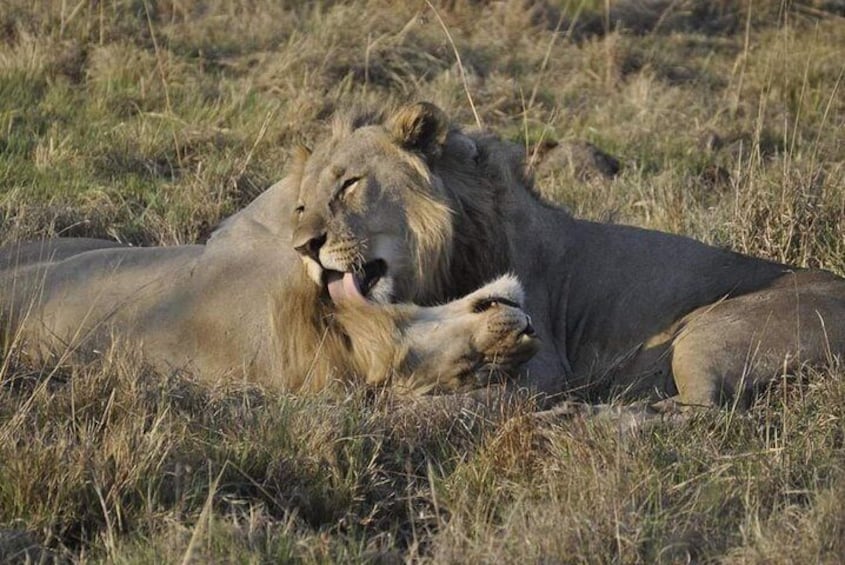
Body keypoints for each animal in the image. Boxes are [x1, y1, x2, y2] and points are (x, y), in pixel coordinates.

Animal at [290, 101, 844, 408]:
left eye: (350, 183)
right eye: (302, 204)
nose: (304, 246)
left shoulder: (544, 365)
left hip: (706, 335)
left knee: (702, 413)